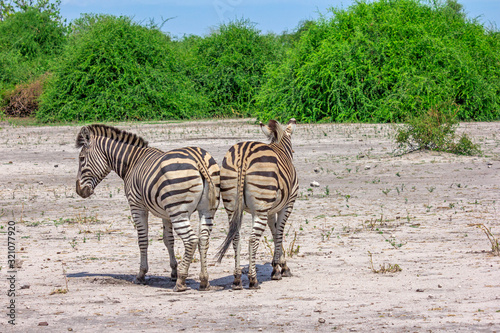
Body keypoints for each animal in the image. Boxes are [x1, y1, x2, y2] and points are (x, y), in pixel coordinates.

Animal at [75, 124, 220, 290]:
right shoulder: (166, 213)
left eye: (81, 159)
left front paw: (141, 274)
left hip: (178, 211)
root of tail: (198, 159)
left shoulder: (137, 206)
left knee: (191, 240)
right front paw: (173, 272)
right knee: (203, 238)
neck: (133, 162)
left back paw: (181, 281)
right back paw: (204, 280)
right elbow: (168, 240)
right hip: (206, 210)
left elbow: (142, 239)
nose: (79, 191)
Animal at [215, 118, 296, 288]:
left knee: (236, 236)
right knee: (252, 239)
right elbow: (279, 232)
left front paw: (279, 265)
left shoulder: (270, 210)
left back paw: (237, 279)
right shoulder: (287, 204)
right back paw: (253, 280)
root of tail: (244, 154)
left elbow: (274, 232)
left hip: (232, 205)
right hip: (260, 208)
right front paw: (279, 269)